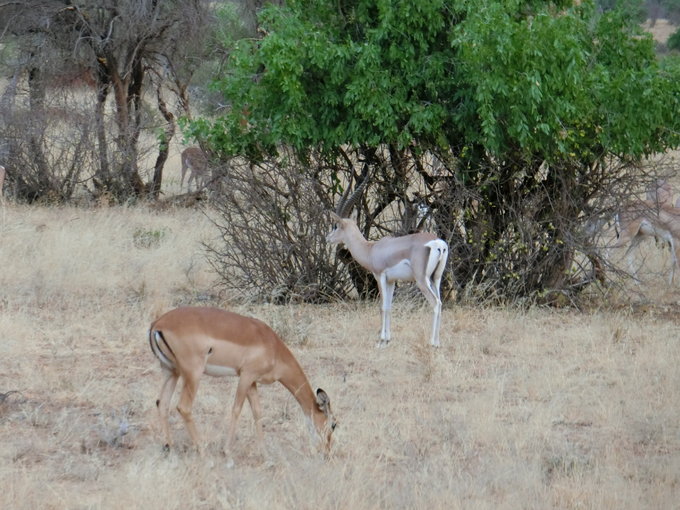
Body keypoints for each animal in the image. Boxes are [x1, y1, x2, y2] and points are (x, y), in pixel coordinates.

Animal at [151, 304, 338, 456]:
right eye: (333, 424)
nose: (327, 451)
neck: (273, 346)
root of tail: (158, 324)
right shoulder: (246, 376)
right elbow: (236, 409)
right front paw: (227, 450)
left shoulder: (252, 382)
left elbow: (257, 412)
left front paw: (264, 453)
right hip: (193, 374)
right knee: (183, 407)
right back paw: (202, 449)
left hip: (171, 371)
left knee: (162, 402)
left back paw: (169, 446)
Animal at [326, 174, 448, 346]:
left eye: (336, 226)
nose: (327, 238)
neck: (371, 249)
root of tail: (438, 243)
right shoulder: (391, 280)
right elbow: (389, 306)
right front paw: (388, 338)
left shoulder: (380, 276)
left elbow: (382, 306)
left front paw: (381, 339)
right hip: (435, 278)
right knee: (440, 302)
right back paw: (437, 342)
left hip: (422, 280)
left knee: (435, 303)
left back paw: (432, 342)